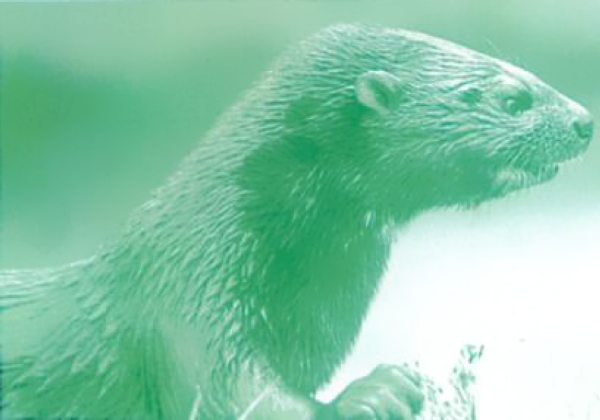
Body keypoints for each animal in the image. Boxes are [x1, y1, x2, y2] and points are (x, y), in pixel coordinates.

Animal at [0, 23, 592, 420]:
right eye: (512, 98)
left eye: (532, 74)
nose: (585, 121)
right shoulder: (186, 307)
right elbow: (234, 392)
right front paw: (378, 391)